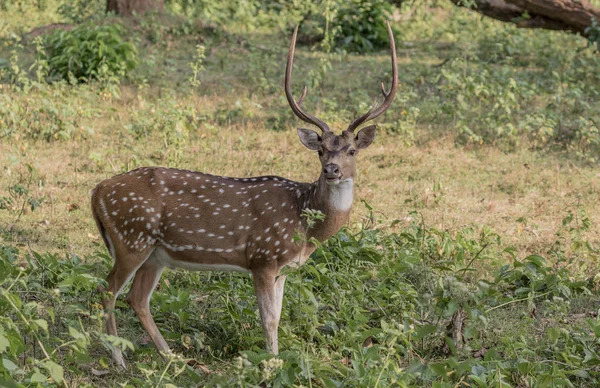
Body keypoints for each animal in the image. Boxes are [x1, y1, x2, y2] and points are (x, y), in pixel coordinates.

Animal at [90, 21, 398, 366]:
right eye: (320, 150)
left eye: (352, 151)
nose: (332, 170)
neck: (304, 224)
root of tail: (96, 190)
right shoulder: (262, 257)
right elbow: (269, 318)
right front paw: (272, 363)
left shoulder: (283, 268)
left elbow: (278, 314)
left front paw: (276, 358)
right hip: (131, 238)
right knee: (106, 291)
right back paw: (119, 358)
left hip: (154, 252)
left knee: (137, 298)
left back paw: (172, 357)